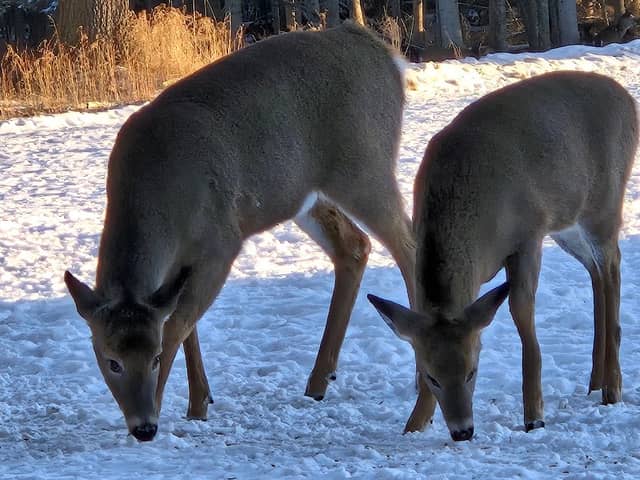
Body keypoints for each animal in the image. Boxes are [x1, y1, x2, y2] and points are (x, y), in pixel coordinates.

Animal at [63, 22, 416, 442]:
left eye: (154, 359)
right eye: (110, 360)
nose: (143, 427)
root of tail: (385, 54)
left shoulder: (222, 241)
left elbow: (178, 323)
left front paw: (169, 406)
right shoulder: (179, 265)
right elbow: (185, 322)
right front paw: (199, 402)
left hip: (365, 164)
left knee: (408, 244)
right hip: (304, 194)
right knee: (354, 245)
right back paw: (318, 381)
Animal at [368, 71, 638, 442]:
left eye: (473, 371)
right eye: (430, 376)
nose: (462, 430)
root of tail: (627, 98)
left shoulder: (528, 234)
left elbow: (521, 313)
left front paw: (534, 416)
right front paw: (415, 423)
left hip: (604, 203)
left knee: (612, 266)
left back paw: (613, 387)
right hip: (567, 223)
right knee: (596, 271)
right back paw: (595, 381)